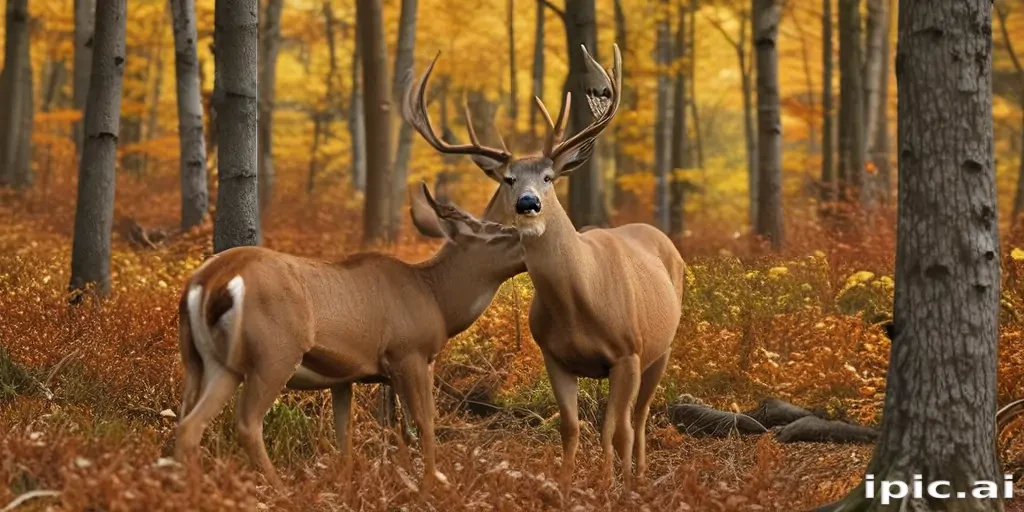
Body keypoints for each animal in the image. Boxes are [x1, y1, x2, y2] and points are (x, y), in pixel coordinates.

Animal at [174, 184, 523, 491]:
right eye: (496, 232)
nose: (525, 237)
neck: (436, 301)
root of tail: (207, 281)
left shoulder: (345, 377)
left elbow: (347, 435)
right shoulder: (410, 353)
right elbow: (425, 423)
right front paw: (431, 485)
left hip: (209, 362)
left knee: (187, 423)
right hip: (272, 355)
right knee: (246, 423)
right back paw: (282, 491)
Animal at [405, 45, 686, 491]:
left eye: (550, 177)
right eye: (508, 179)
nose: (528, 203)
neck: (580, 302)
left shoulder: (628, 352)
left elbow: (617, 428)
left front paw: (615, 488)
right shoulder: (554, 356)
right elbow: (572, 427)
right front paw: (569, 488)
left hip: (662, 346)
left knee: (638, 417)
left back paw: (639, 476)